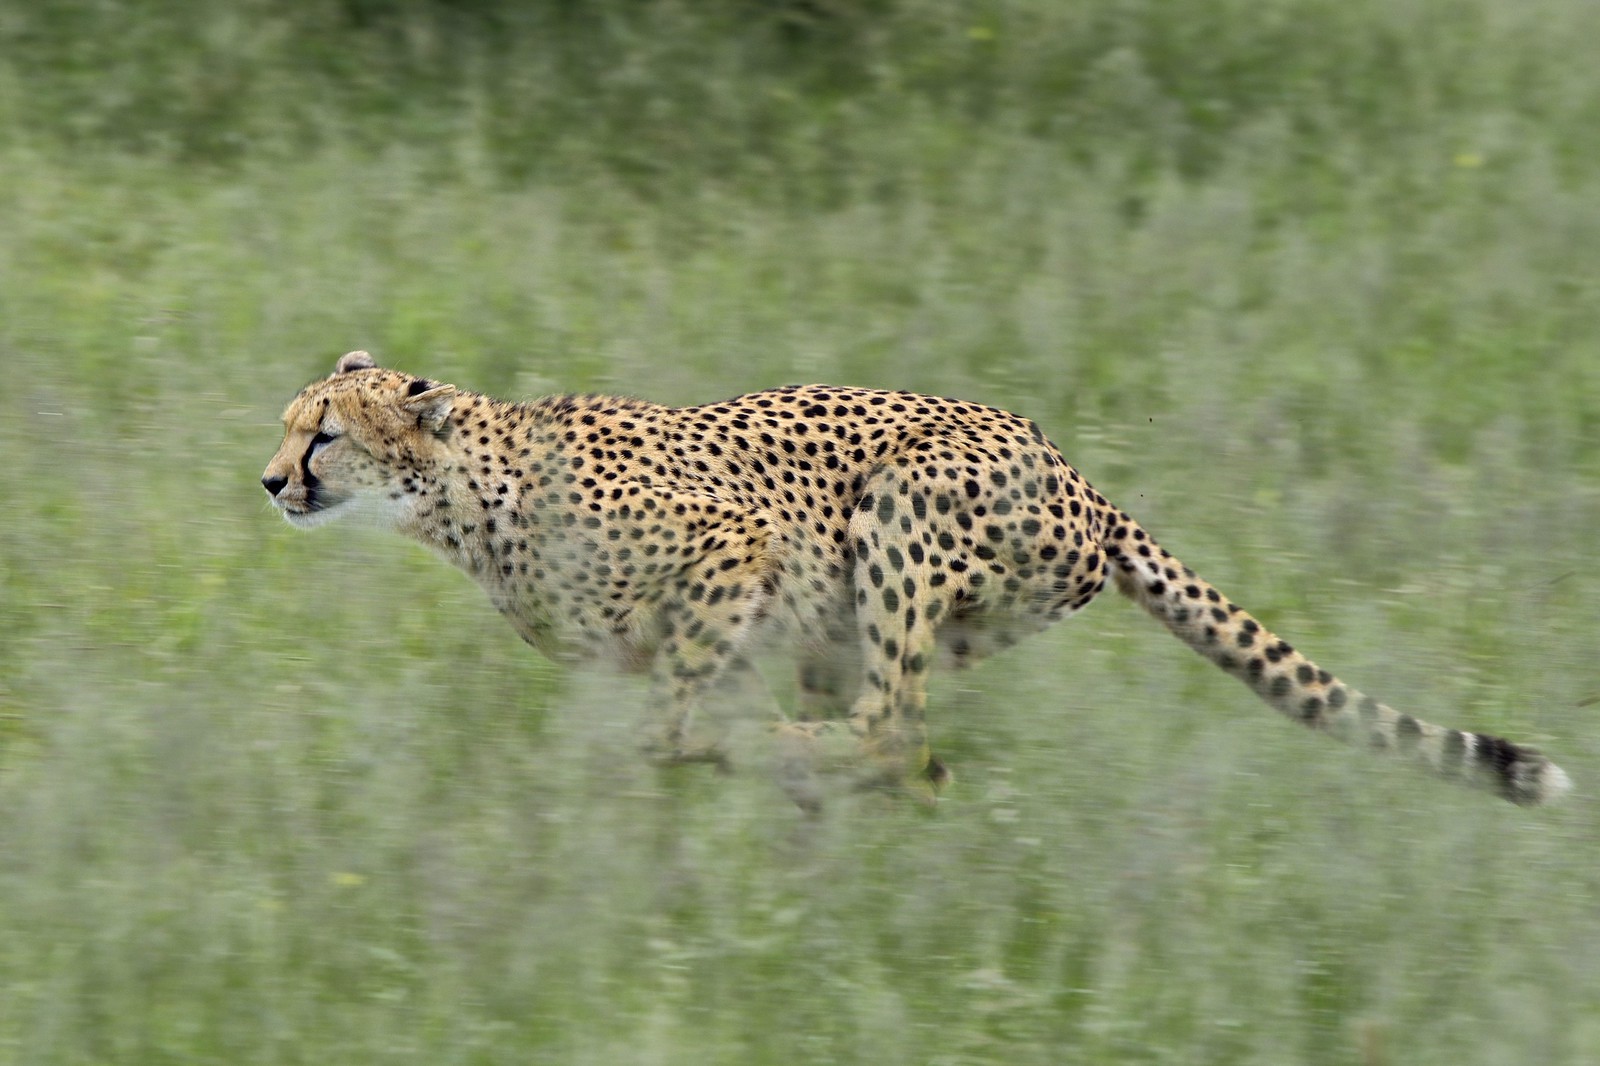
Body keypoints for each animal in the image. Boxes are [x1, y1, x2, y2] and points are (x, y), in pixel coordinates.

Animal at [262, 351, 1570, 809]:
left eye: (322, 432)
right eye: (289, 425)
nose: (271, 481)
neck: (460, 494)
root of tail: (1085, 478)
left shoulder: (734, 544)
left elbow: (670, 717)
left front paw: (698, 758)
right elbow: (676, 710)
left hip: (900, 515)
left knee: (894, 726)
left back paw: (802, 760)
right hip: (862, 614)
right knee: (905, 743)